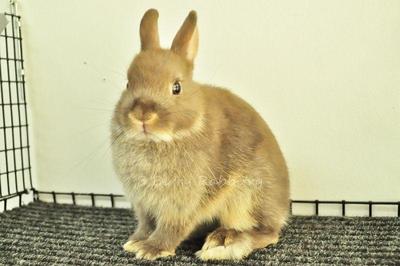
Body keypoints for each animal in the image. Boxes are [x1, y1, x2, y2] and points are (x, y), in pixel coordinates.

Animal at [111, 9, 290, 260]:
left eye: (176, 87)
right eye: (128, 84)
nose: (142, 115)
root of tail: (283, 207)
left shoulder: (182, 203)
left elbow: (170, 227)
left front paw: (151, 249)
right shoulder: (143, 204)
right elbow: (146, 224)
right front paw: (135, 241)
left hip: (248, 198)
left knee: (268, 233)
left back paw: (223, 243)